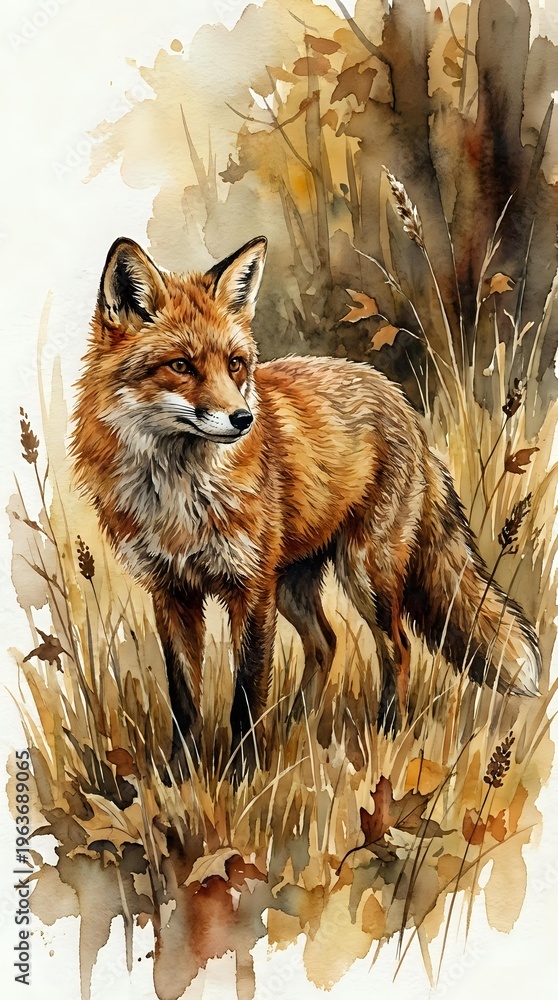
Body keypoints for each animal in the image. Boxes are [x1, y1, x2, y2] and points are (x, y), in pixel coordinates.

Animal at [72, 234, 541, 761]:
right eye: (180, 366)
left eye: (235, 364)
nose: (243, 419)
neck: (181, 496)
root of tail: (402, 405)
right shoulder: (172, 591)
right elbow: (184, 700)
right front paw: (181, 774)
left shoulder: (250, 587)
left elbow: (246, 694)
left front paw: (244, 773)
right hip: (294, 584)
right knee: (327, 643)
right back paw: (297, 729)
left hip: (363, 574)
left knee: (397, 648)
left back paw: (386, 733)